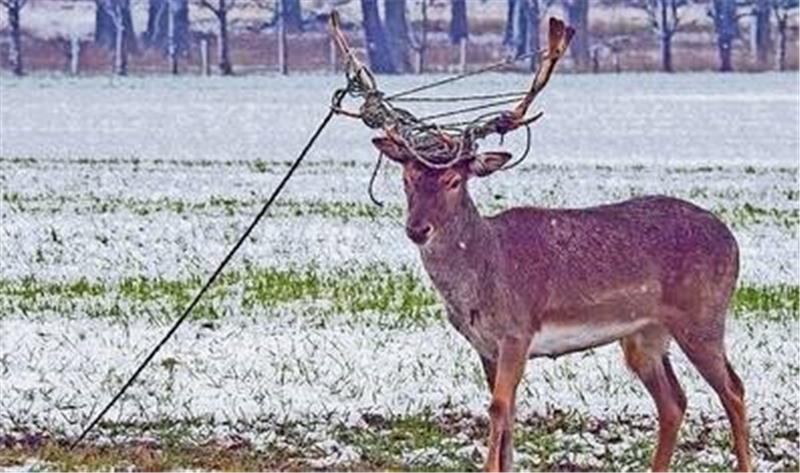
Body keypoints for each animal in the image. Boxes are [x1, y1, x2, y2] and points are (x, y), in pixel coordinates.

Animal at [326, 12, 752, 472]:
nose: (417, 229)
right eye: (406, 178)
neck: (482, 276)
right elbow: (508, 413)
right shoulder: (485, 345)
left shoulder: (518, 329)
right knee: (674, 401)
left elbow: (498, 408)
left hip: (703, 315)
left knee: (734, 389)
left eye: (454, 180)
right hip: (645, 334)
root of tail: (732, 239)